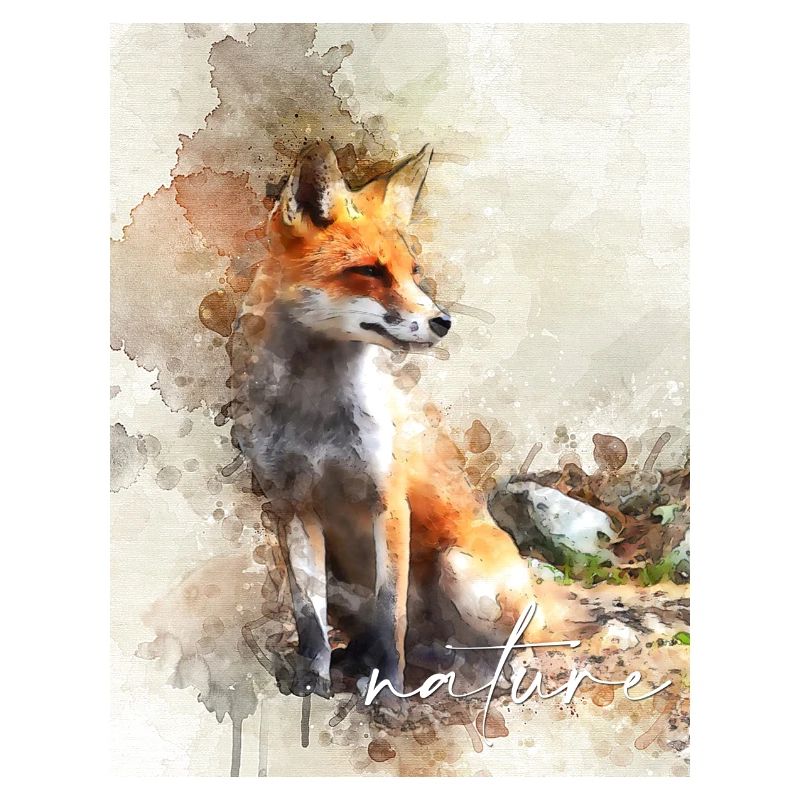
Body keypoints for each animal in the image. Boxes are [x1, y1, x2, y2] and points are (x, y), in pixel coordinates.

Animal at [226, 142, 619, 701]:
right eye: (370, 271)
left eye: (413, 271)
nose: (443, 321)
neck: (315, 418)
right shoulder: (292, 508)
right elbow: (309, 618)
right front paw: (312, 680)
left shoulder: (388, 502)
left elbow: (392, 614)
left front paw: (387, 687)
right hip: (353, 587)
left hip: (463, 572)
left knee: (514, 640)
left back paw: (494, 676)